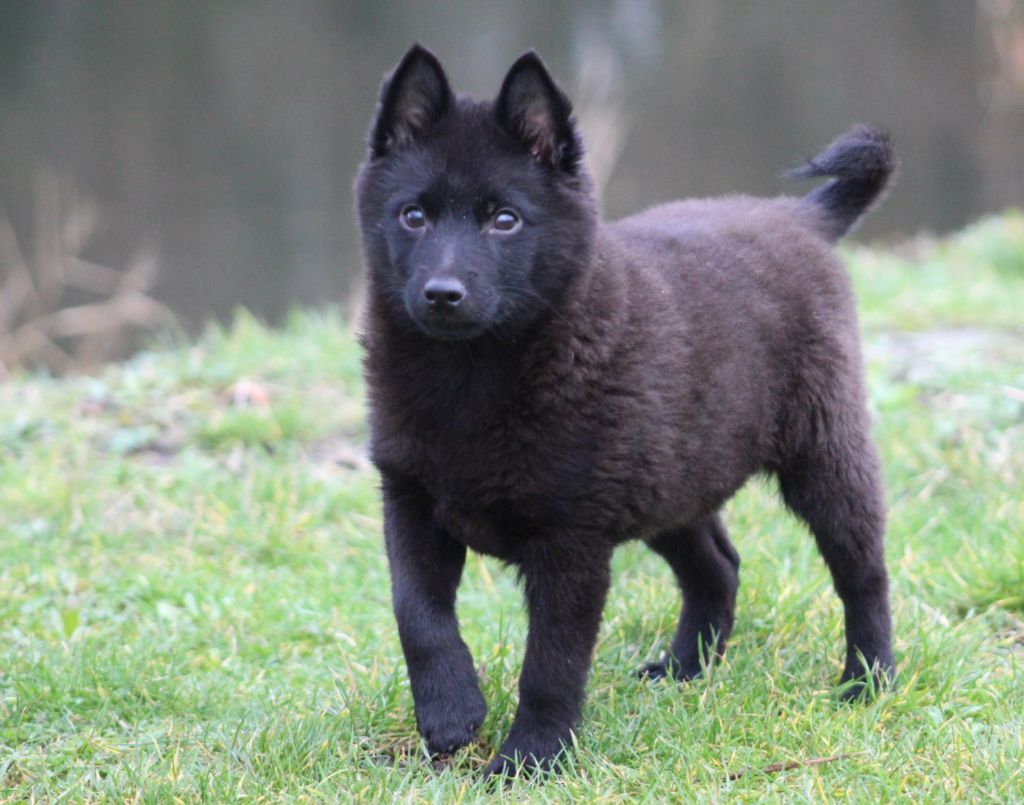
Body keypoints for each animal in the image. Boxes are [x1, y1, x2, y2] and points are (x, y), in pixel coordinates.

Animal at [354, 45, 897, 778]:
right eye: (413, 215)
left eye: (505, 220)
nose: (443, 293)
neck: (474, 373)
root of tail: (797, 217)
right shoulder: (409, 496)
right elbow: (417, 614)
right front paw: (450, 714)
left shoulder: (572, 538)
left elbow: (551, 662)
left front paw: (531, 758)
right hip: (673, 473)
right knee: (718, 566)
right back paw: (685, 670)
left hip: (823, 451)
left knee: (862, 569)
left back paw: (868, 681)